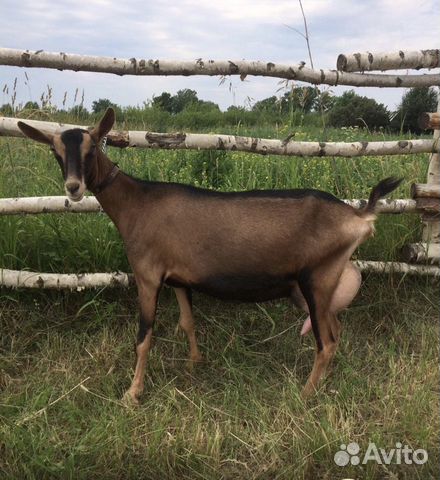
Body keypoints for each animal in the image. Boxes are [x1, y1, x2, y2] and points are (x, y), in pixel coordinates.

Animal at [17, 109, 402, 402]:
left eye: (92, 147)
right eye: (56, 152)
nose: (73, 188)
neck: (137, 203)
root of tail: (359, 217)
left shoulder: (147, 274)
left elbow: (144, 336)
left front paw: (132, 393)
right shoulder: (177, 278)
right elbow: (188, 321)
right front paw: (194, 363)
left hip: (317, 279)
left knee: (327, 342)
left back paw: (305, 395)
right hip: (317, 287)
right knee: (334, 330)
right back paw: (323, 385)